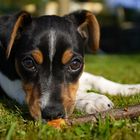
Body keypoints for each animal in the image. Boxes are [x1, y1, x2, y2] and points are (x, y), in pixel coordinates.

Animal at [0, 10, 140, 121]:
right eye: (28, 63)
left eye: (75, 64)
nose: (52, 114)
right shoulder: (10, 83)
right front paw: (91, 99)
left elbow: (98, 79)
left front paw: (131, 88)